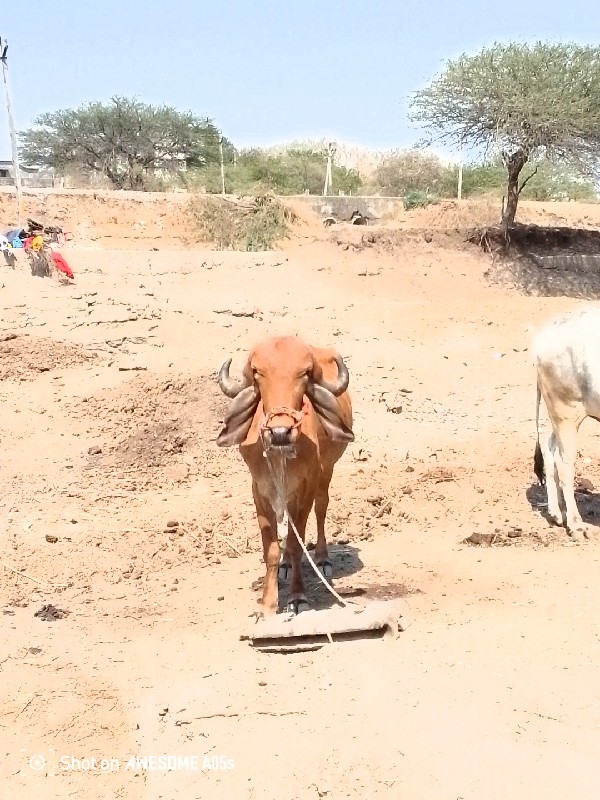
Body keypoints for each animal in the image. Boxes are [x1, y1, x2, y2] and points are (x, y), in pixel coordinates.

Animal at [218, 334, 354, 616]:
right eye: (258, 372)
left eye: (304, 373)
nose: (280, 432)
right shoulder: (259, 490)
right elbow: (271, 548)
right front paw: (267, 604)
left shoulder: (306, 488)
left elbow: (295, 543)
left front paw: (297, 597)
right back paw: (285, 566)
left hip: (326, 472)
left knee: (322, 508)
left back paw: (322, 558)